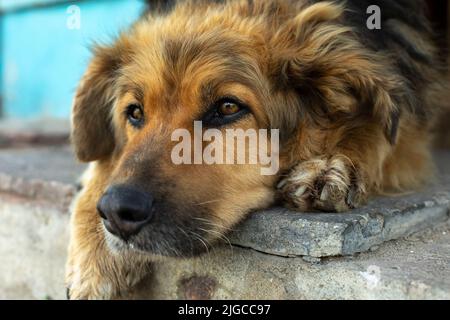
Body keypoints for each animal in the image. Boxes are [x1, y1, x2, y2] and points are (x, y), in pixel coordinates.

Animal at [65, 0, 448, 300]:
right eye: (135, 113)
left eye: (228, 108)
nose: (116, 212)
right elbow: (107, 161)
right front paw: (93, 253)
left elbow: (379, 130)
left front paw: (330, 164)